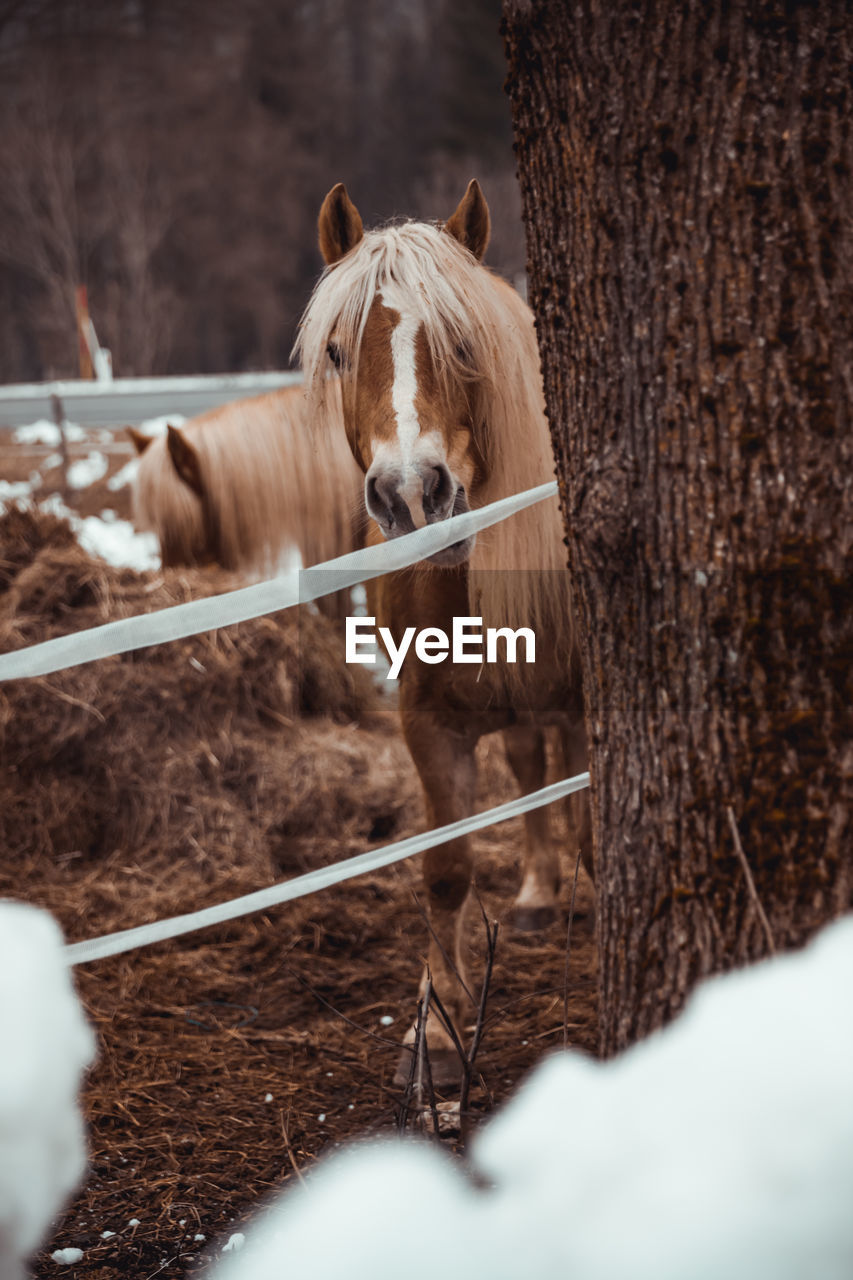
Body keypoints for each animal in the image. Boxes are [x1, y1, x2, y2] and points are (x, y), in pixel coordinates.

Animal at [295, 177, 589, 1080]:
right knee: (529, 769)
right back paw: (535, 893)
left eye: (463, 341)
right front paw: (439, 1027)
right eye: (335, 352)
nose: (411, 493)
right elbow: (445, 866)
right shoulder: (427, 724)